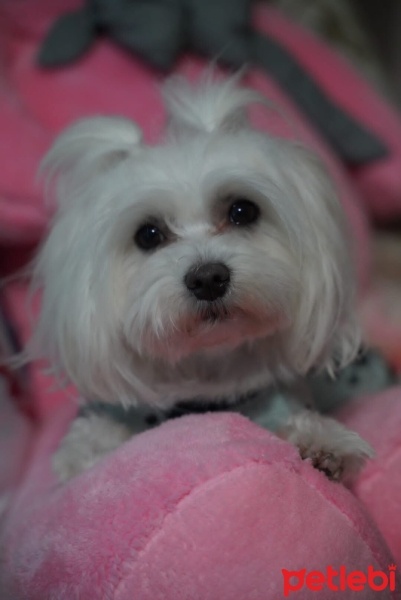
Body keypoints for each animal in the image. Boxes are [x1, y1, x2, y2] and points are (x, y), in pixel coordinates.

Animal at [27, 71, 372, 482]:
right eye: (148, 234)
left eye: (242, 211)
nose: (208, 279)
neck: (206, 376)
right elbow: (89, 442)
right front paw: (90, 453)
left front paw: (323, 442)